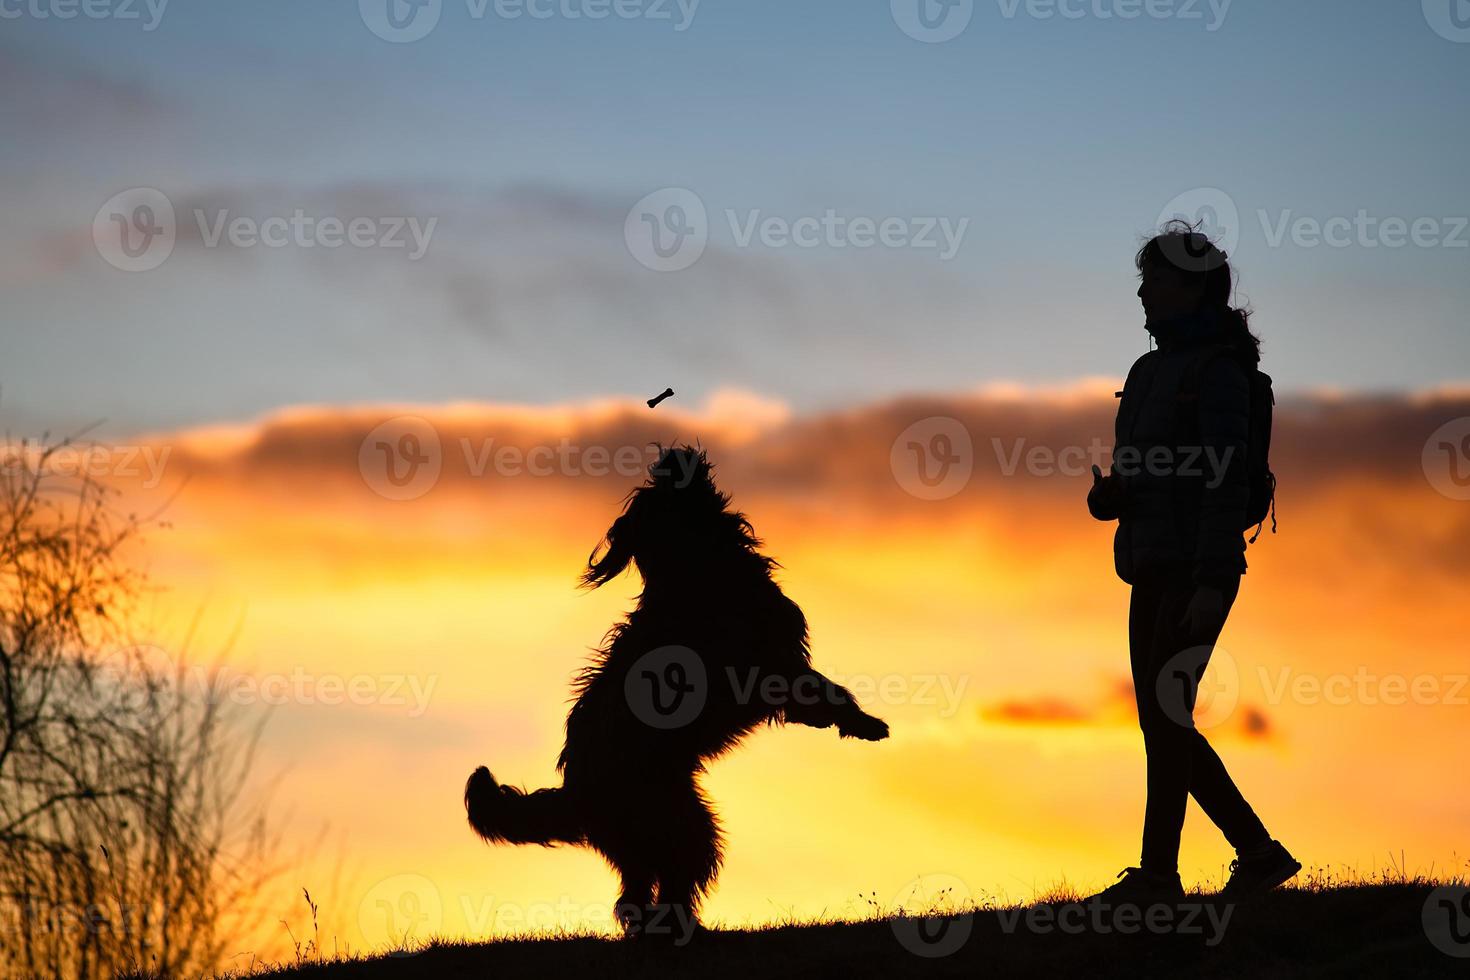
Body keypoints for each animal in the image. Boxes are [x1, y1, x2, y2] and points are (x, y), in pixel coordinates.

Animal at [464, 449, 887, 940]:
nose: (672, 455)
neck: (693, 567)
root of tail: (577, 792)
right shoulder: (776, 668)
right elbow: (829, 691)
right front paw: (866, 724)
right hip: (684, 825)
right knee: (669, 885)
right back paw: (688, 930)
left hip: (645, 839)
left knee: (632, 898)